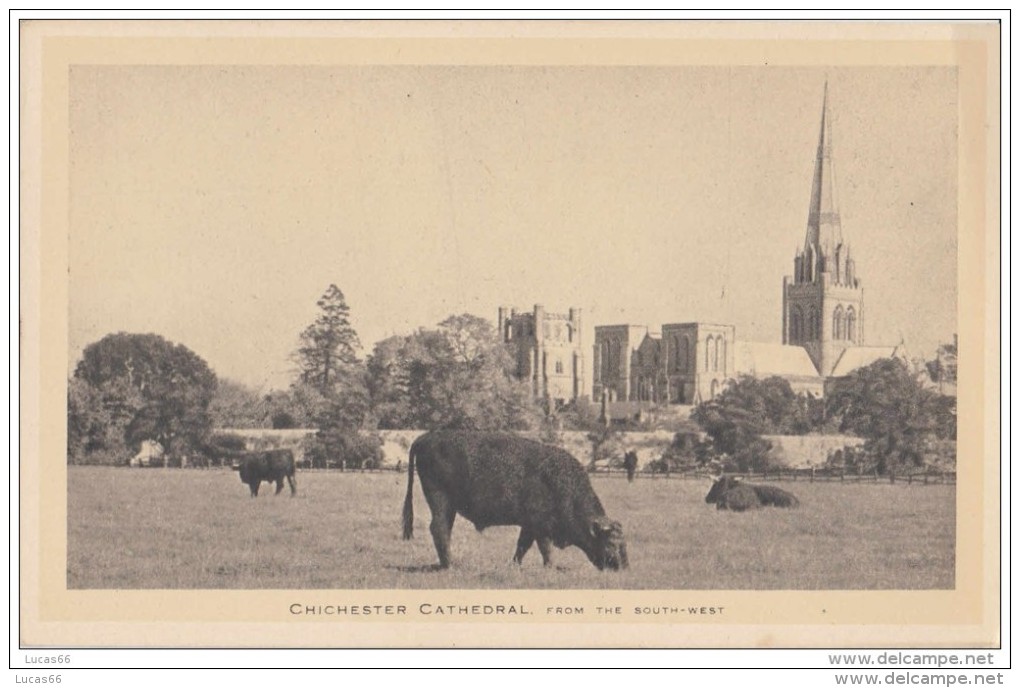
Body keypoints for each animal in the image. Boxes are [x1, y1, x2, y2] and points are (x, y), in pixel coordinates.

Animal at [399, 430, 624, 570]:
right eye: (610, 542)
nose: (621, 567)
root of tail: (425, 437)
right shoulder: (539, 525)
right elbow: (544, 547)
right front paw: (551, 567)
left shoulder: (529, 525)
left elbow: (522, 546)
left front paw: (515, 565)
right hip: (440, 500)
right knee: (438, 528)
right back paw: (450, 565)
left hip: (449, 507)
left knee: (444, 528)